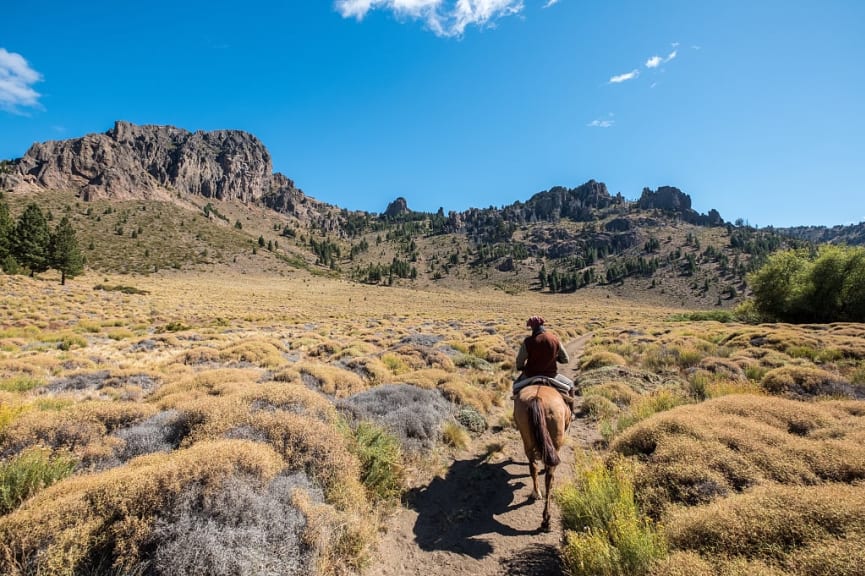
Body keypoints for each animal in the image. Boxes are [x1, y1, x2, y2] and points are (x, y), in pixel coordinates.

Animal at [512, 380, 572, 532]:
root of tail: (537, 397)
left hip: (526, 439)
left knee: (533, 467)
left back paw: (536, 493)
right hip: (556, 441)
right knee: (549, 477)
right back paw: (546, 520)